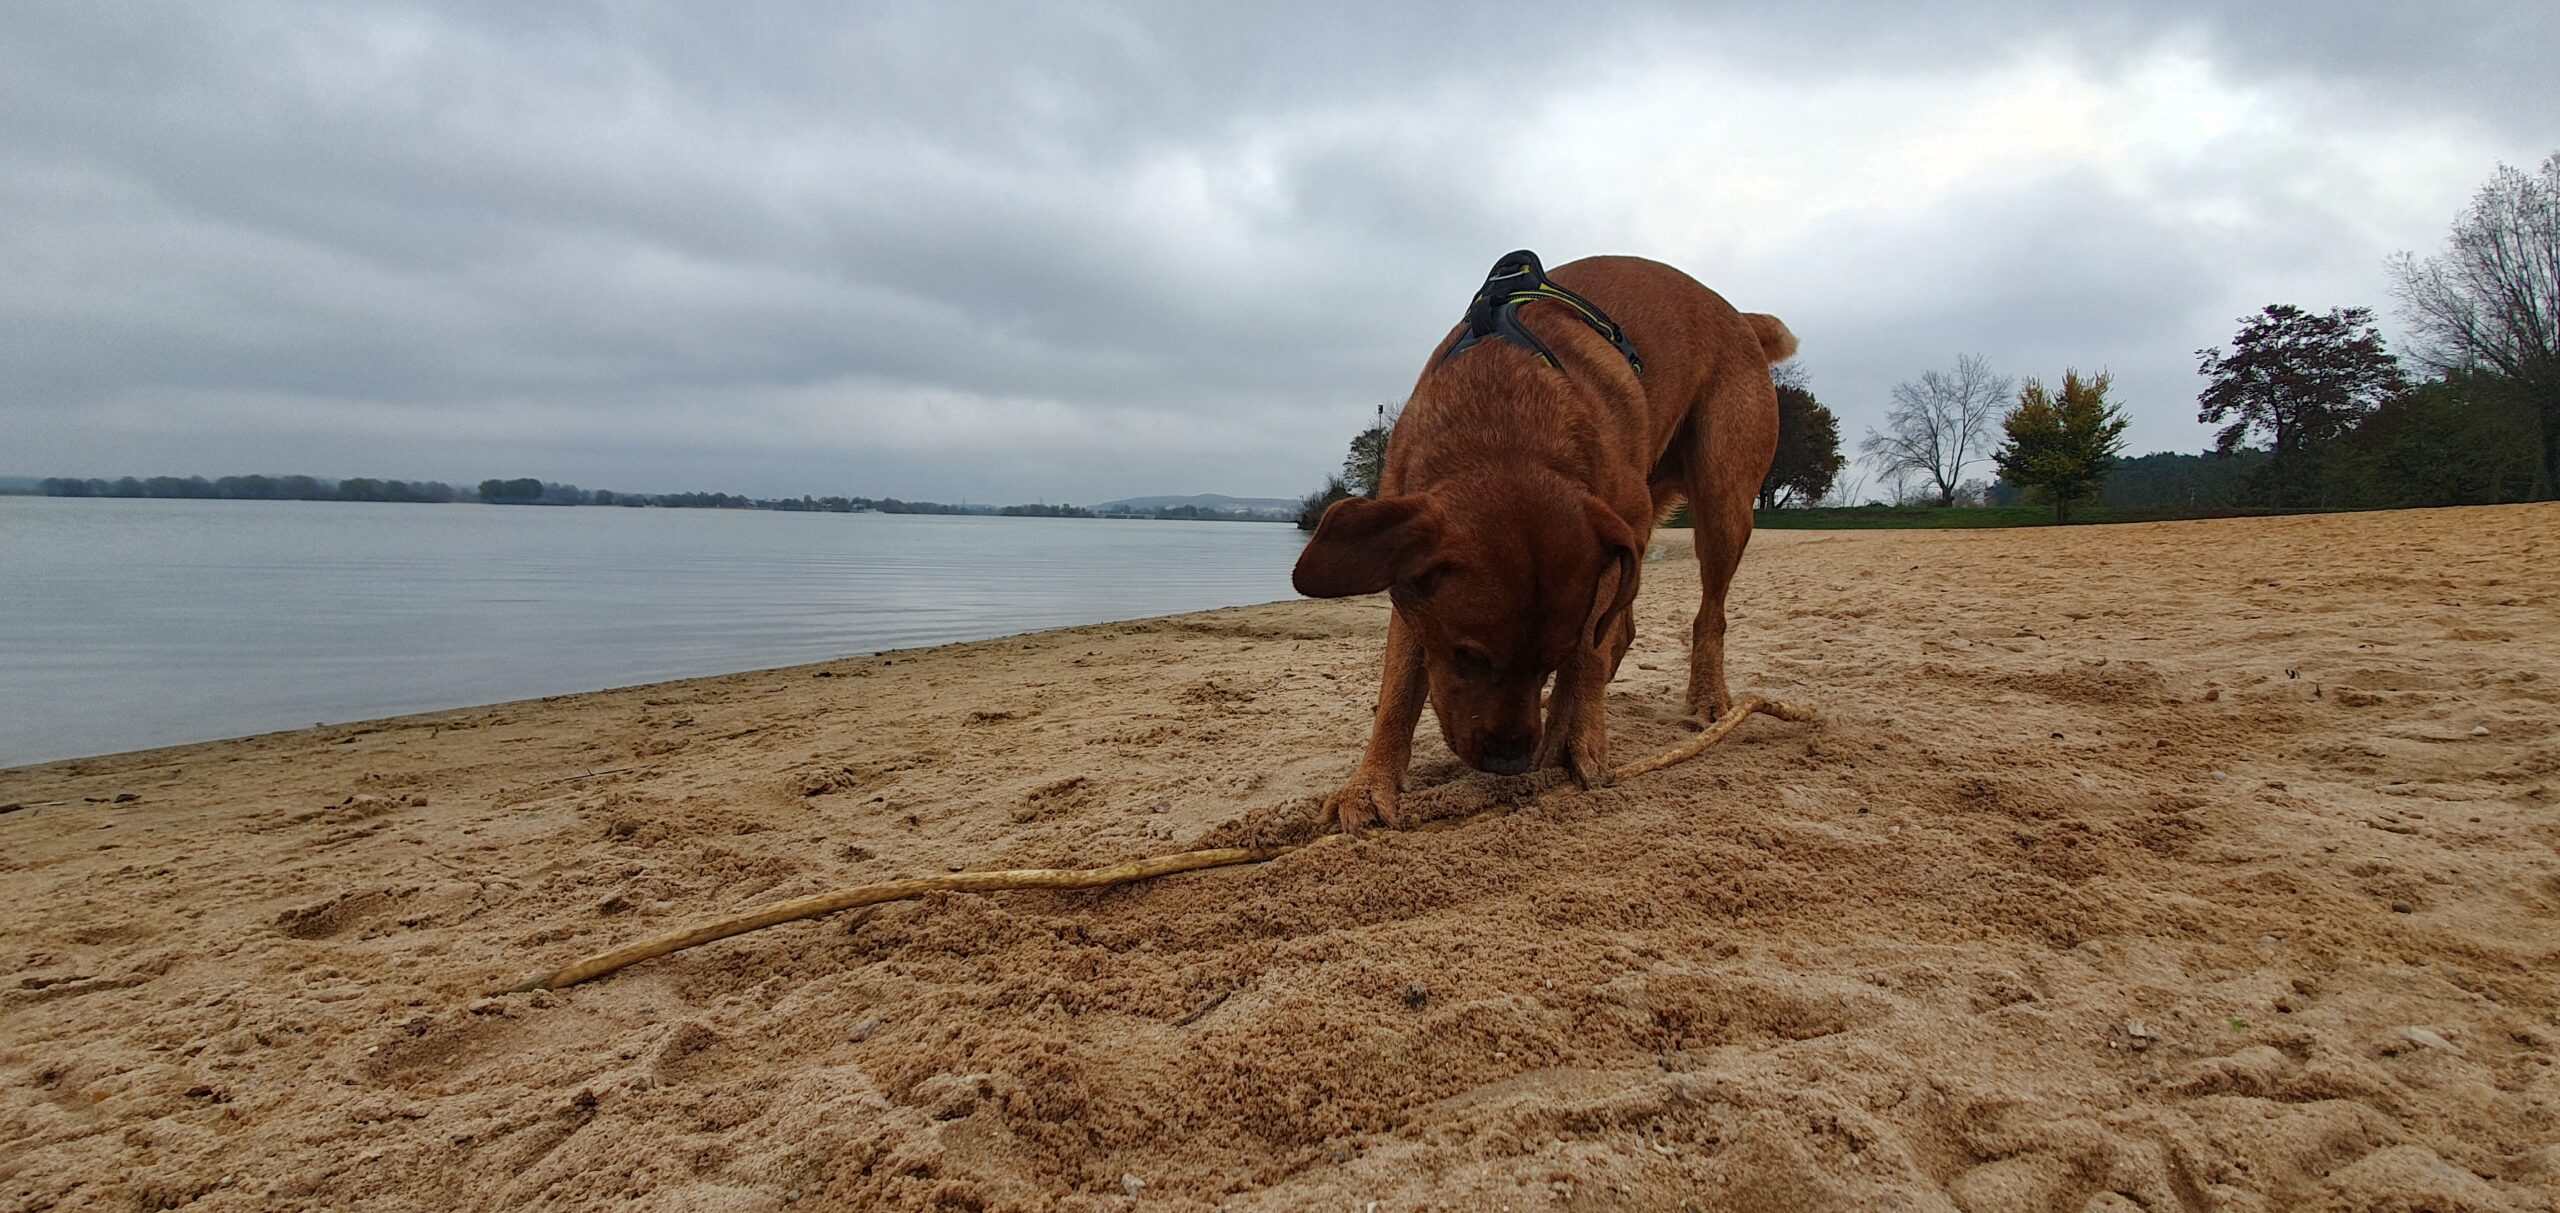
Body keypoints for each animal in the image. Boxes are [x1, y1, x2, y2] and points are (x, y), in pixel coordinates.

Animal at [1293, 251, 1795, 833]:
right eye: (1468, 656)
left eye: (1548, 659)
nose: (1509, 761)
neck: (1502, 427)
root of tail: (1739, 317)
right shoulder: (1408, 564)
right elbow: (1397, 686)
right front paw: (1369, 783)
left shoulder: (1621, 530)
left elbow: (1588, 656)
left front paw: (1578, 736)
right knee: (1623, 627)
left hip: (1721, 499)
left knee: (1702, 614)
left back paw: (1703, 699)